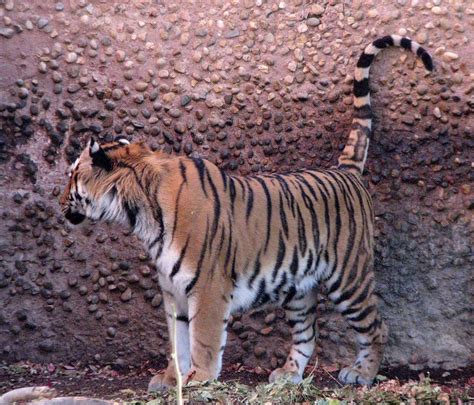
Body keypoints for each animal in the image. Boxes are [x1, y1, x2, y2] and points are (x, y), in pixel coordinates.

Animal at [60, 36, 434, 390]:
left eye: (72, 174)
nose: (60, 201)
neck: (140, 214)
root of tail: (345, 171)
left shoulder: (208, 287)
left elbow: (203, 339)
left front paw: (200, 378)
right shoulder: (173, 292)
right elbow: (177, 342)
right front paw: (170, 379)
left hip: (349, 276)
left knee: (376, 327)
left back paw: (362, 374)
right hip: (298, 289)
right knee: (307, 333)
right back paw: (288, 374)